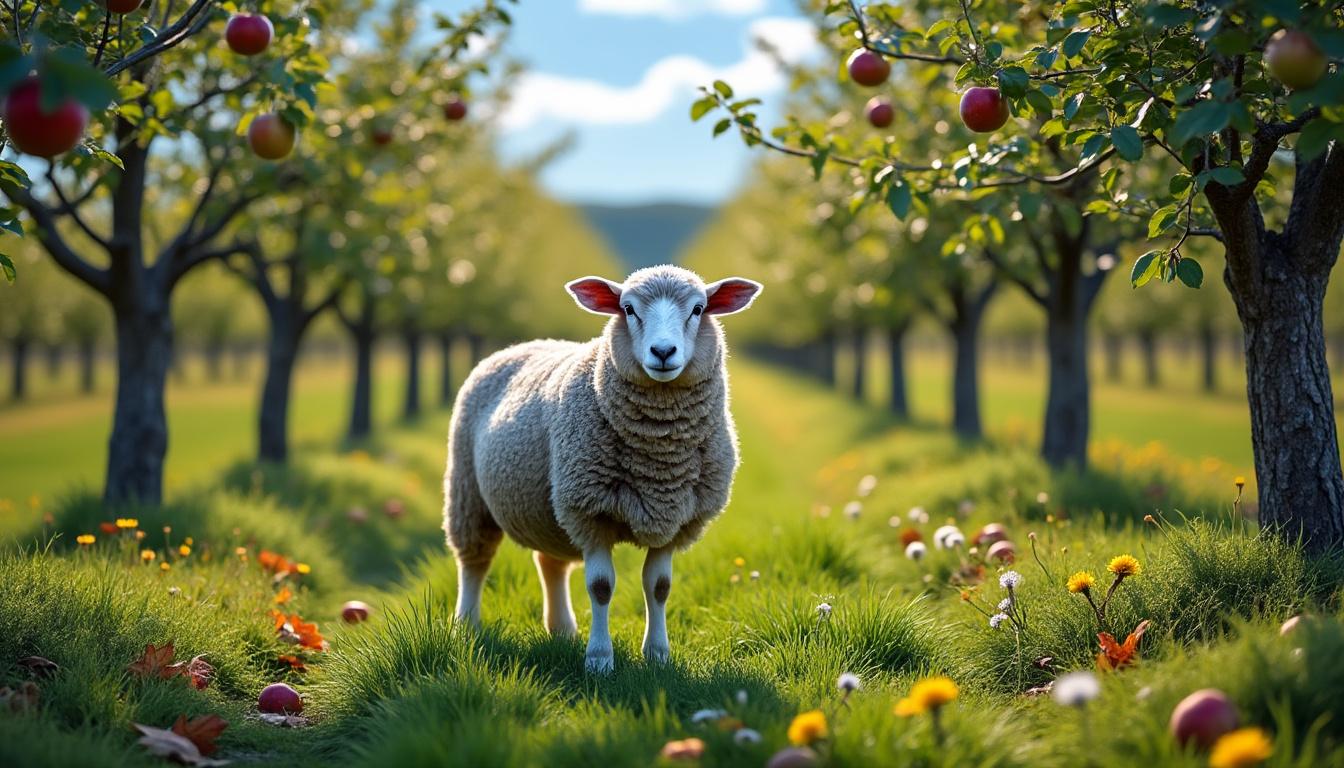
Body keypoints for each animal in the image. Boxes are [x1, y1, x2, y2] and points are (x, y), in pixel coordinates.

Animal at [443, 265, 761, 673]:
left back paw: (562, 629)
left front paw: (658, 654)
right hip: (468, 490)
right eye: (627, 309)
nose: (663, 352)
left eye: (698, 309)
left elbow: (659, 587)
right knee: (474, 562)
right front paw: (599, 659)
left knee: (550, 562)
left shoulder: (675, 518)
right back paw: (466, 625)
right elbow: (601, 587)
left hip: (549, 511)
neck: (658, 457)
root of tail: (522, 344)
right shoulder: (589, 510)